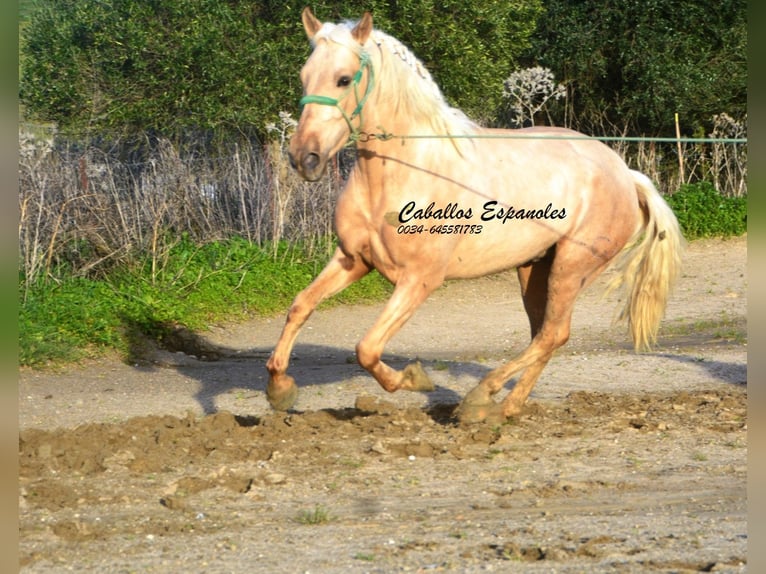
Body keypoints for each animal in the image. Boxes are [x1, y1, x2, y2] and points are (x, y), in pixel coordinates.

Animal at [266, 7, 683, 423]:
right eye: (304, 75)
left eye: (343, 78)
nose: (304, 157)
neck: (405, 171)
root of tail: (624, 172)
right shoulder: (353, 259)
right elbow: (300, 306)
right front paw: (279, 389)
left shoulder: (419, 279)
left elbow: (367, 348)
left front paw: (415, 379)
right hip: (535, 268)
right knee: (544, 334)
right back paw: (508, 407)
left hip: (572, 266)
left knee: (554, 333)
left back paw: (480, 399)